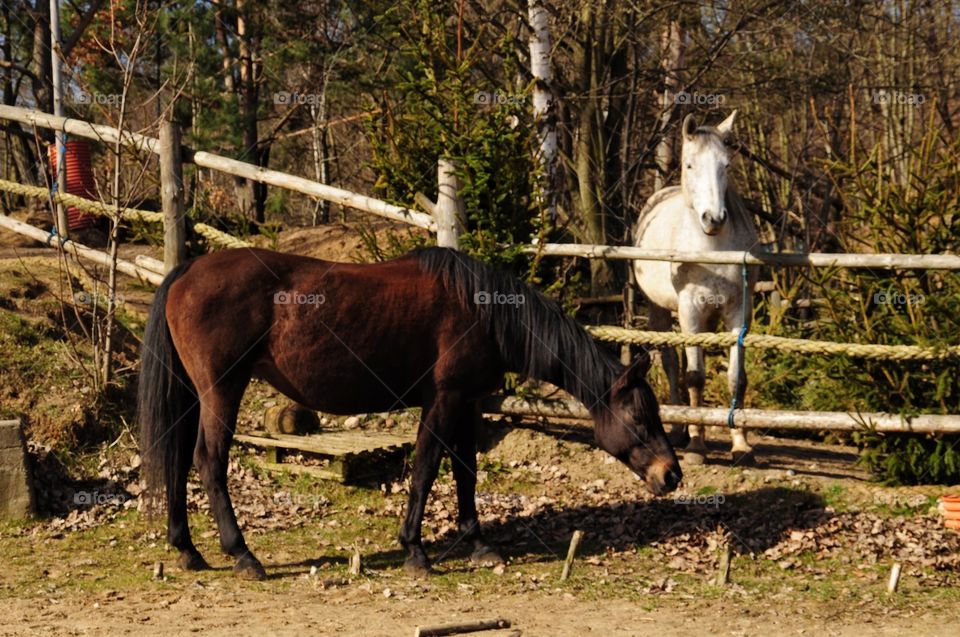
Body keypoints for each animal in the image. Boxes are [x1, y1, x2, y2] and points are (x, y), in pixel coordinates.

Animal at [141, 247, 684, 576]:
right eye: (639, 417)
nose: (671, 474)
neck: (485, 312)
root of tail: (188, 270)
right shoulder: (442, 400)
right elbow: (426, 470)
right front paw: (415, 550)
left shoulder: (466, 403)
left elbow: (466, 473)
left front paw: (478, 543)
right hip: (221, 392)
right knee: (208, 462)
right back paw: (242, 554)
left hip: (193, 393)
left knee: (177, 461)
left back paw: (187, 549)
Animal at [632, 112, 760, 464]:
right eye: (690, 165)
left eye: (726, 165)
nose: (713, 219)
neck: (711, 250)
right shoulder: (690, 311)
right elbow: (694, 376)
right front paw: (697, 446)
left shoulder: (737, 313)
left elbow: (736, 377)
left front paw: (741, 445)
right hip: (661, 311)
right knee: (669, 362)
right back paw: (679, 430)